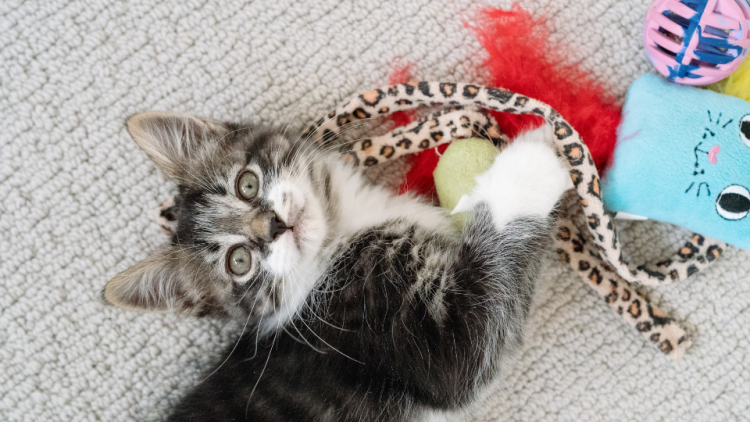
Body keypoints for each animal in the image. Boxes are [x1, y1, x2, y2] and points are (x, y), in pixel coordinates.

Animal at [104, 113, 568, 422]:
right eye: (239, 262)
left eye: (246, 184)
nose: (274, 225)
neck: (340, 232)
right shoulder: (441, 344)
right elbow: (485, 316)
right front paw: (530, 163)